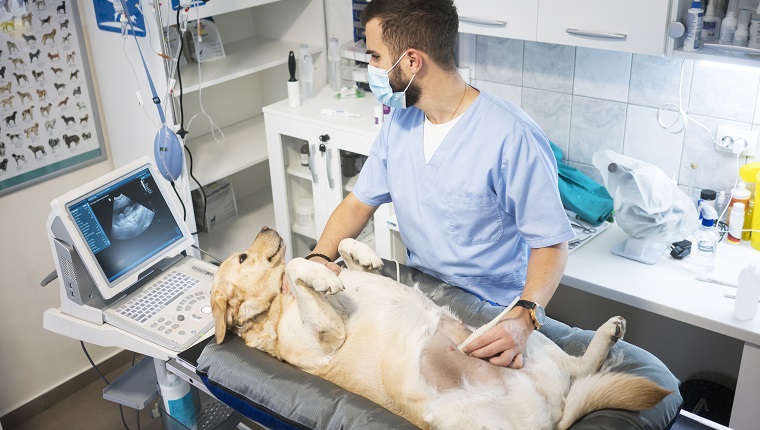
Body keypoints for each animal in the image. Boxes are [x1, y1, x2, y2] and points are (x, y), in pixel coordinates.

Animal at [211, 227, 668, 428]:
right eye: (241, 256)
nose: (267, 226)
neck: (276, 305)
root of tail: (555, 409)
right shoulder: (328, 336)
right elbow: (294, 265)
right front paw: (319, 276)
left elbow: (340, 253)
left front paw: (357, 254)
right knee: (580, 374)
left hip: (519, 337)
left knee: (578, 365)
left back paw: (608, 332)